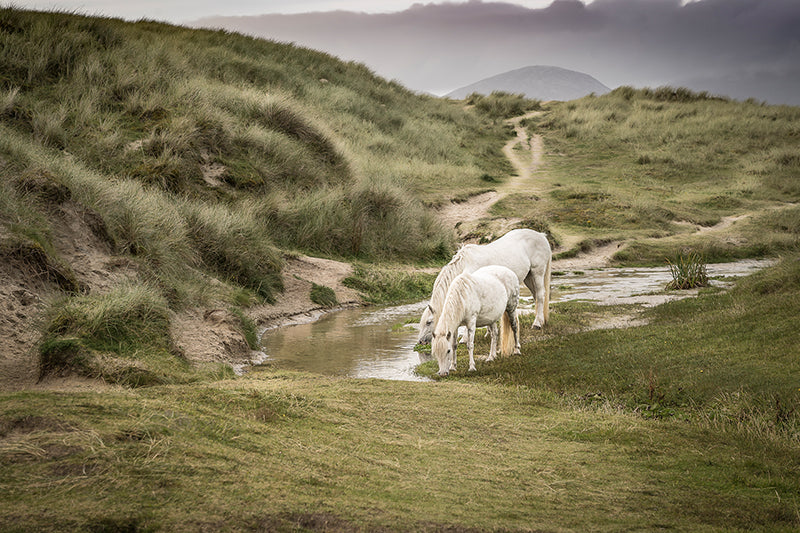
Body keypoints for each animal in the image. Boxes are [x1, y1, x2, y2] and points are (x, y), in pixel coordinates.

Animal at [418, 227, 552, 342]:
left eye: (428, 322)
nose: (421, 341)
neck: (465, 265)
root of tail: (541, 235)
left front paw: (464, 339)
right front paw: (488, 332)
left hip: (537, 272)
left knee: (540, 295)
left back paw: (537, 324)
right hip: (528, 277)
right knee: (536, 296)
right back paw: (542, 320)